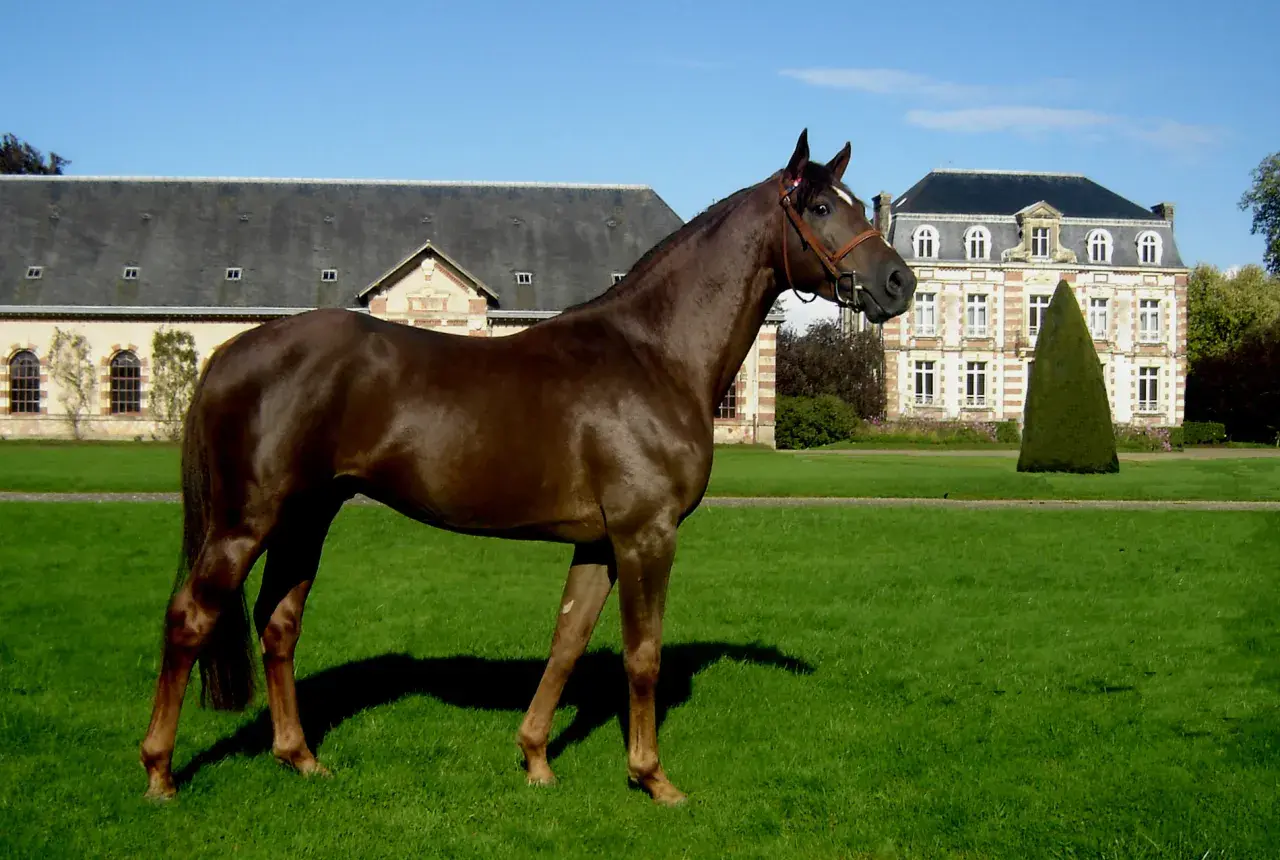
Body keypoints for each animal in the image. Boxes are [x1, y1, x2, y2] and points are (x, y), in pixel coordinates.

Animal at [138, 129, 917, 806]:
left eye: (855, 202)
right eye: (819, 207)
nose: (900, 283)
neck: (653, 353)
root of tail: (231, 353)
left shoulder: (598, 543)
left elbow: (567, 641)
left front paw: (537, 758)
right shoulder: (646, 535)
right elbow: (642, 656)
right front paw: (652, 778)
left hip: (307, 518)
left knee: (279, 623)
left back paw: (300, 757)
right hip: (246, 522)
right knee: (189, 618)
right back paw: (160, 773)